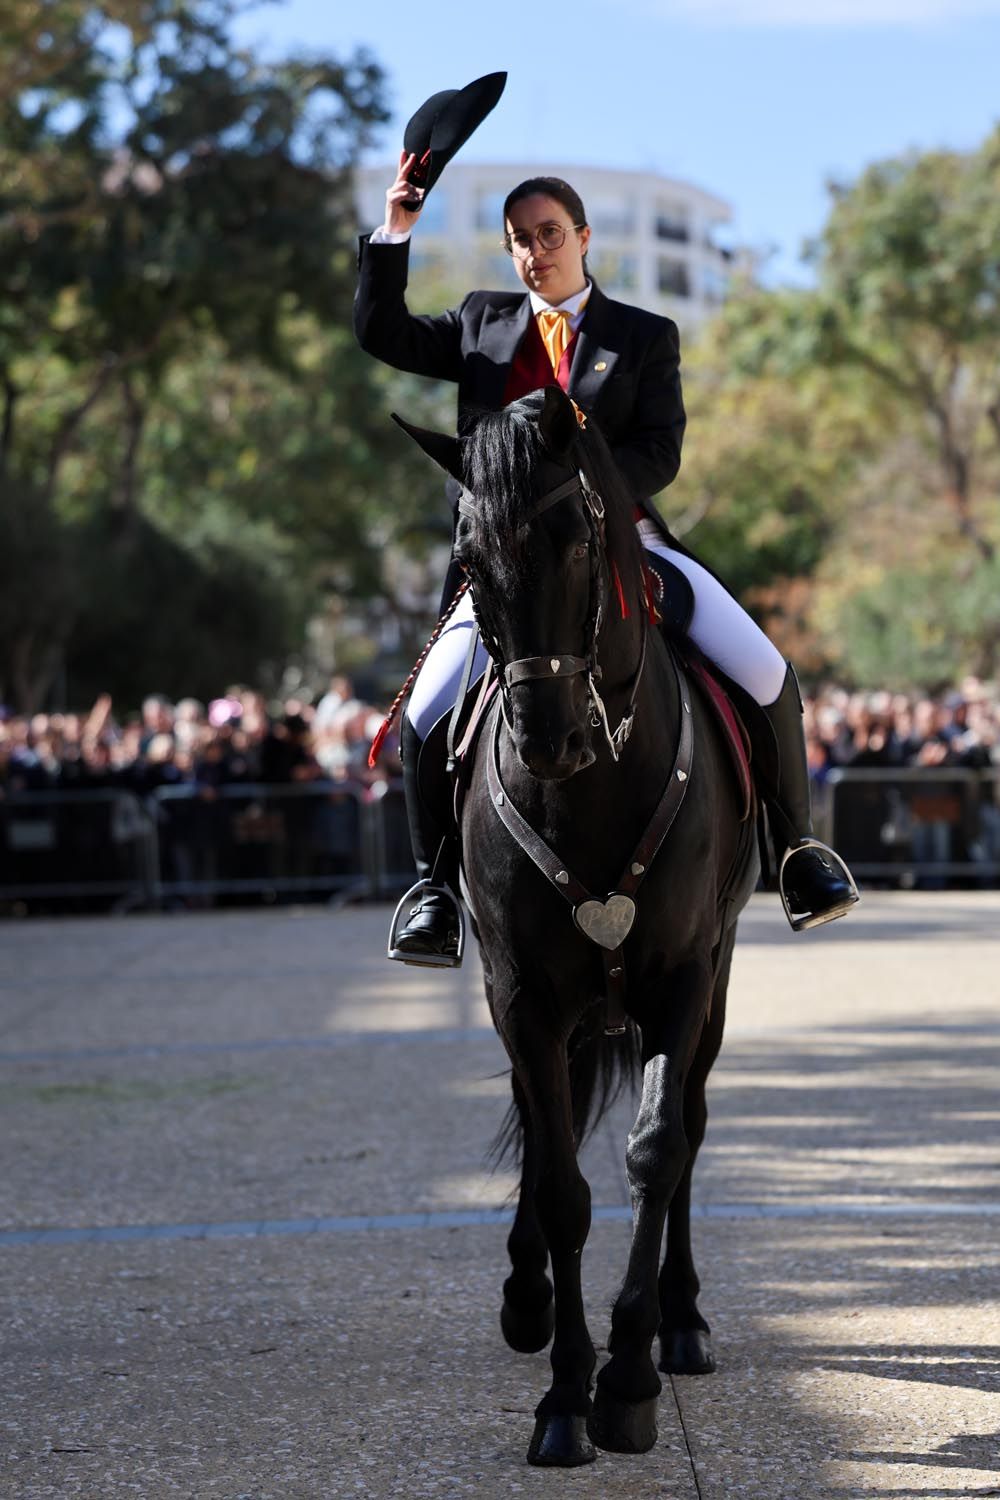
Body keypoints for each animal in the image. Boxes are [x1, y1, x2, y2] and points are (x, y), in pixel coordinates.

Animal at [395, 387, 758, 1464]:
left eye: (573, 536)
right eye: (468, 558)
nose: (545, 738)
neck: (589, 790)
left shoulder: (683, 978)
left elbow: (656, 1151)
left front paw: (630, 1377)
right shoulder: (520, 993)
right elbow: (559, 1184)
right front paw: (563, 1394)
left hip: (714, 983)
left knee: (689, 1129)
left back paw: (682, 1320)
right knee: (536, 1123)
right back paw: (526, 1298)